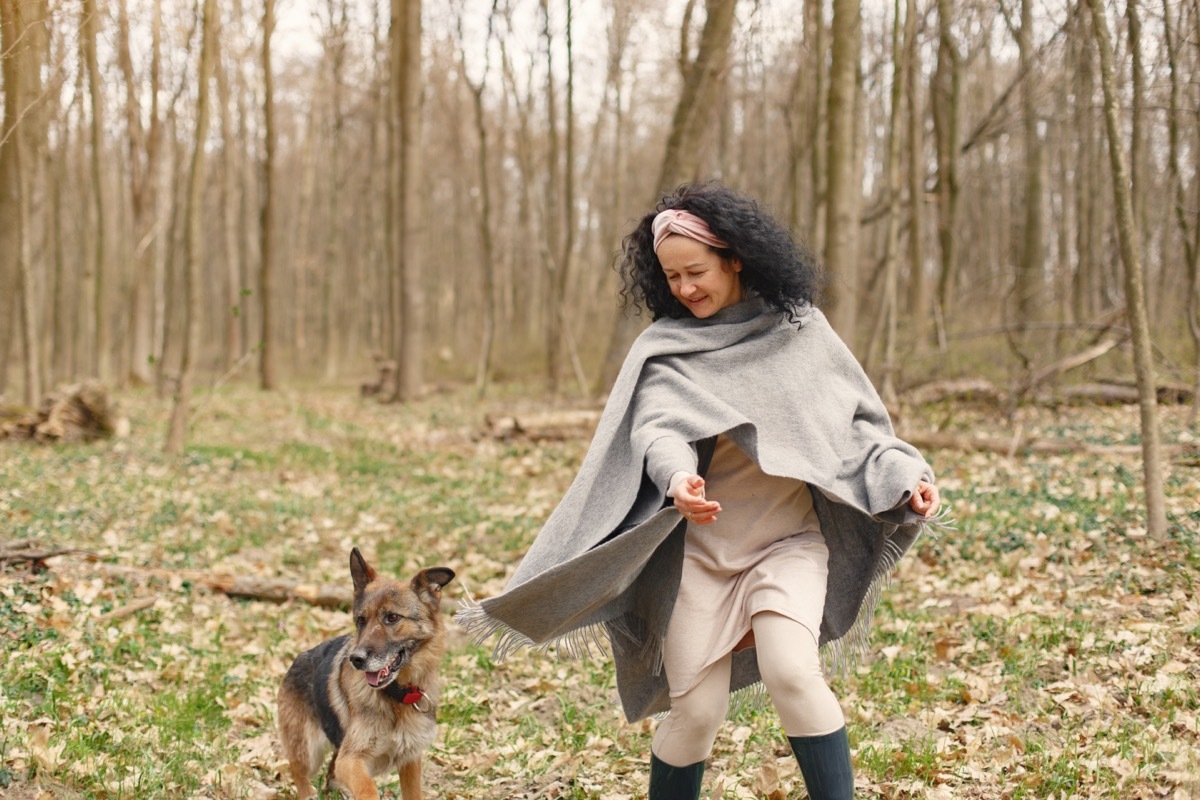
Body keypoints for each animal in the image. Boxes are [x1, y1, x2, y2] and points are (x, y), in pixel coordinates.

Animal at [276, 551, 453, 800]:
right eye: (361, 620)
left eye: (392, 618)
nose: (356, 659)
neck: (396, 696)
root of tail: (299, 657)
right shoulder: (351, 759)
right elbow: (368, 788)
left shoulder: (410, 759)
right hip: (308, 751)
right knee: (298, 771)